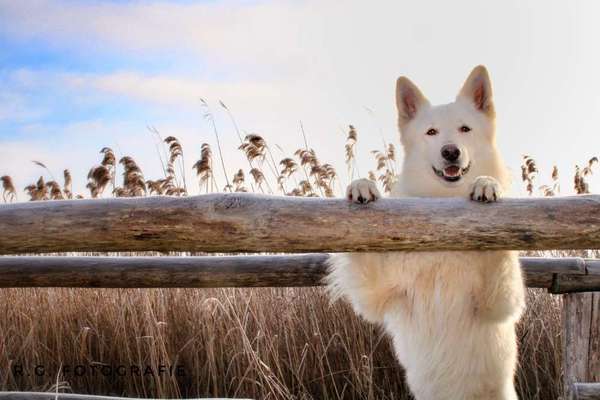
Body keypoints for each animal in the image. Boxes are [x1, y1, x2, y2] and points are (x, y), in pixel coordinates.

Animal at [328, 66, 524, 400]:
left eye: (465, 129)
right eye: (431, 132)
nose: (450, 152)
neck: (442, 215)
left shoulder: (498, 302)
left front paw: (487, 184)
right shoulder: (377, 294)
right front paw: (362, 185)